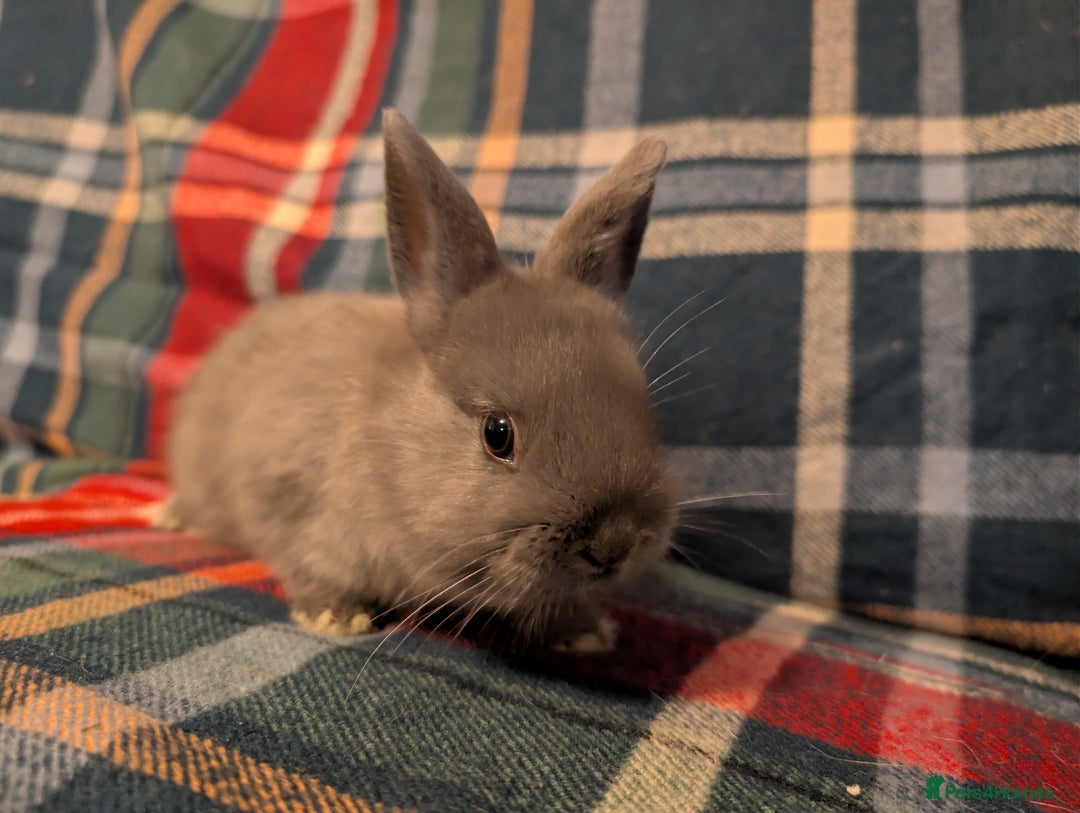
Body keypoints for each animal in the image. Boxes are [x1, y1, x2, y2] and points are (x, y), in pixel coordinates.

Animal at [165, 109, 677, 651]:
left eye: (642, 411)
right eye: (498, 434)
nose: (615, 544)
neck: (388, 451)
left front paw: (584, 632)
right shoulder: (285, 499)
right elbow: (307, 565)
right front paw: (335, 616)